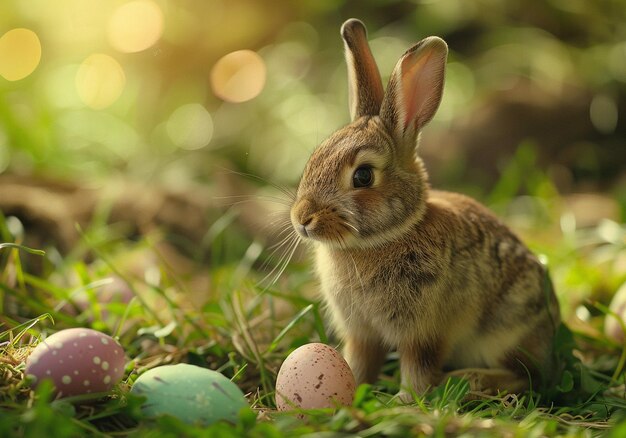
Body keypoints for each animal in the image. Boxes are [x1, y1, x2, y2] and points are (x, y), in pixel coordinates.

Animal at [288, 18, 560, 398]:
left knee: (525, 376)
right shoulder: (362, 334)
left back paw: (472, 380)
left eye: (363, 176)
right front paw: (351, 391)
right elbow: (359, 361)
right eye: (314, 158)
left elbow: (418, 368)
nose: (302, 219)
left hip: (504, 331)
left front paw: (405, 400)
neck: (385, 238)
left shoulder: (424, 333)